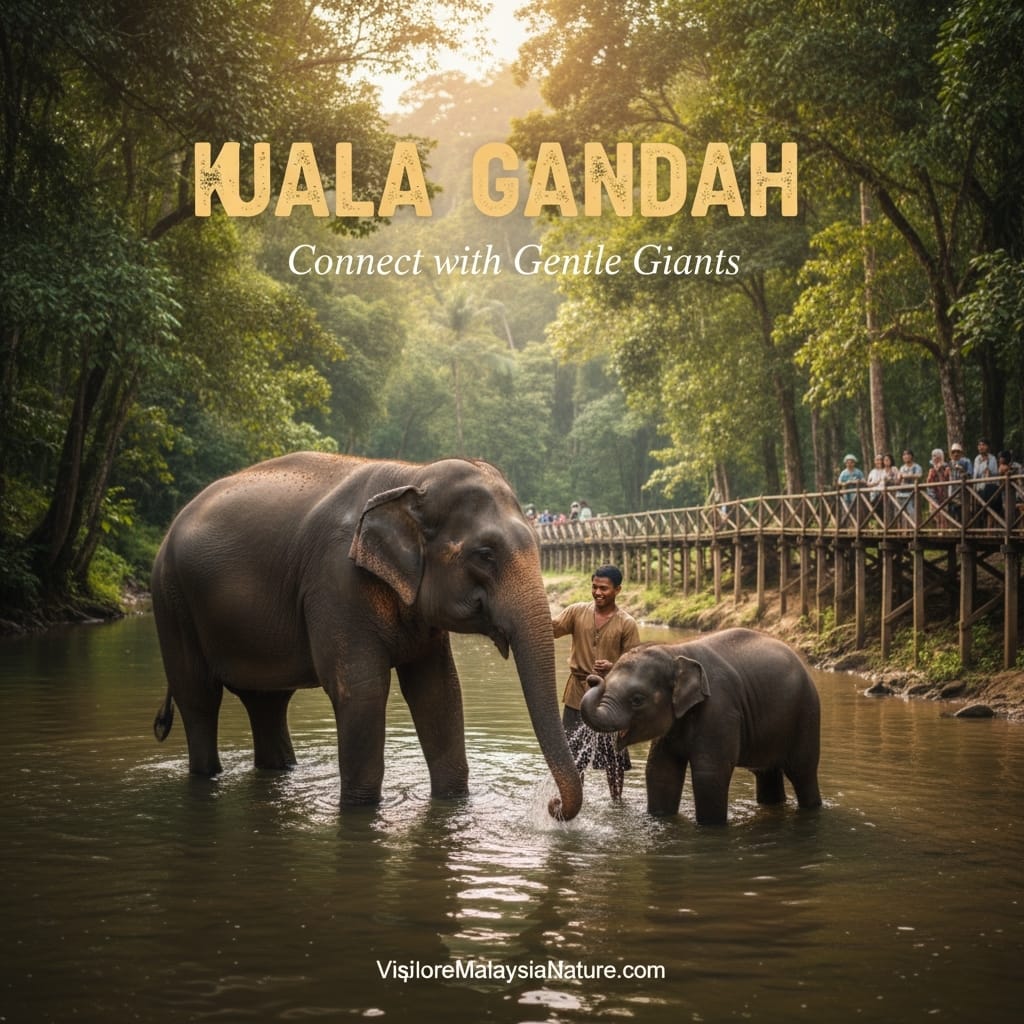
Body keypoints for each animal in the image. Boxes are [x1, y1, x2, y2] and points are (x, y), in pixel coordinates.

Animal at [150, 452, 583, 821]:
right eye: (485, 554)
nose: (553, 807)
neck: (410, 477)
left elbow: (439, 691)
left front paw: (453, 803)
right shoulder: (336, 583)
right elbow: (362, 691)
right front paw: (360, 811)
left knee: (266, 703)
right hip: (171, 601)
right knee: (199, 698)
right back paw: (206, 775)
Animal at [579, 628, 821, 824]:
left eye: (637, 699)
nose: (593, 678)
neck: (675, 652)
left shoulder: (720, 709)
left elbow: (710, 773)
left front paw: (711, 827)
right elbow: (660, 770)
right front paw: (661, 818)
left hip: (807, 714)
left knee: (803, 772)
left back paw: (812, 809)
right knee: (767, 773)